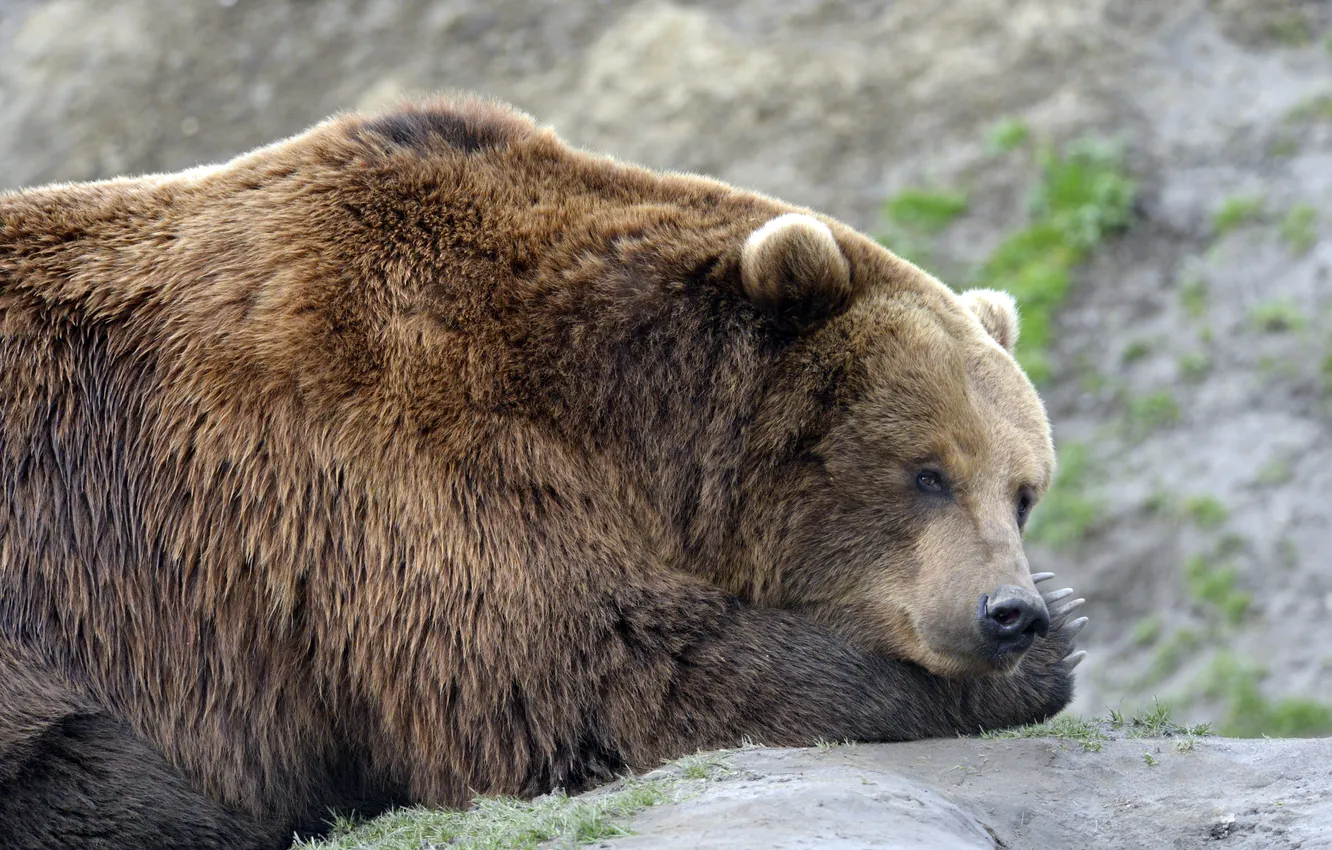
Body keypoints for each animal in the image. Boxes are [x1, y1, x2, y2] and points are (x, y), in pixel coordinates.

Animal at [0, 96, 1087, 849]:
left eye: (1024, 490)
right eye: (927, 472)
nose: (1011, 610)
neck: (612, 414)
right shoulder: (389, 462)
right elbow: (593, 677)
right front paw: (1053, 652)